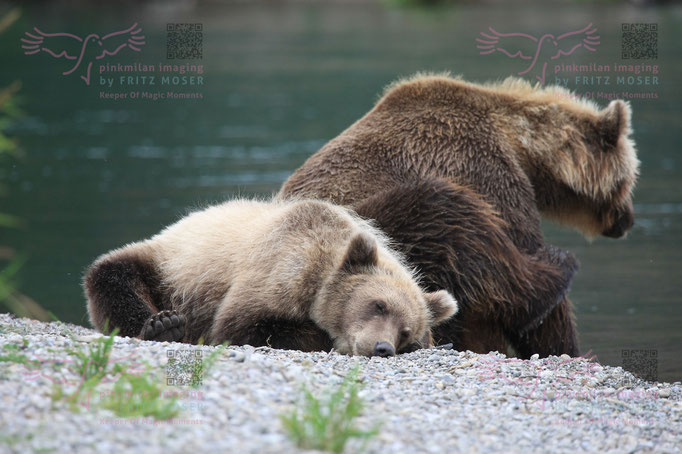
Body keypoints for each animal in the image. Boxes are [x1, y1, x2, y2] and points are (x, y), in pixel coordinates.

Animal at [83, 198, 458, 357]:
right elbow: (242, 325)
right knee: (113, 273)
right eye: (378, 305)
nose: (382, 347)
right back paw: (163, 324)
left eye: (406, 331)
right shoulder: (278, 266)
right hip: (169, 266)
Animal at [278, 73, 640, 358]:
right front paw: (562, 343)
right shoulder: (488, 175)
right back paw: (561, 266)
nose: (627, 221)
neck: (521, 146)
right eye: (629, 179)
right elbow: (521, 261)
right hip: (380, 231)